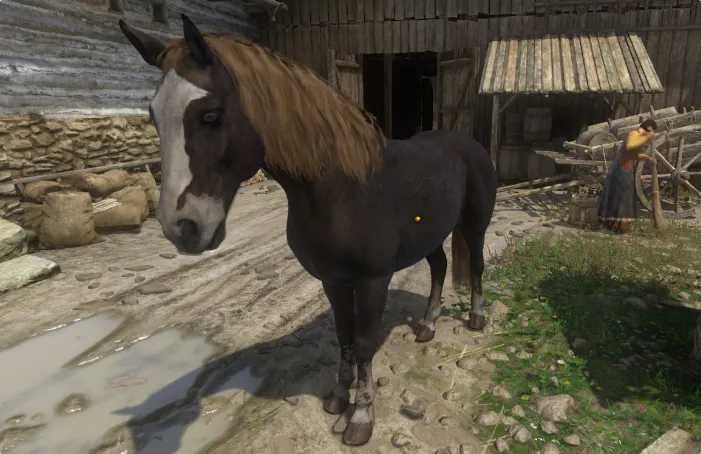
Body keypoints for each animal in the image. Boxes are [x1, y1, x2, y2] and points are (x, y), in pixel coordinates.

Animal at [119, 15, 497, 447]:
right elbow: (343, 335)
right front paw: (337, 397)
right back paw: (428, 326)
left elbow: (364, 342)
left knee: (477, 267)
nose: (181, 228)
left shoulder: (373, 280)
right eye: (153, 116)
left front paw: (361, 417)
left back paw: (475, 319)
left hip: (475, 227)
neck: (341, 192)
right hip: (431, 233)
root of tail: (467, 143)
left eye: (210, 114)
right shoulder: (333, 280)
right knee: (438, 268)